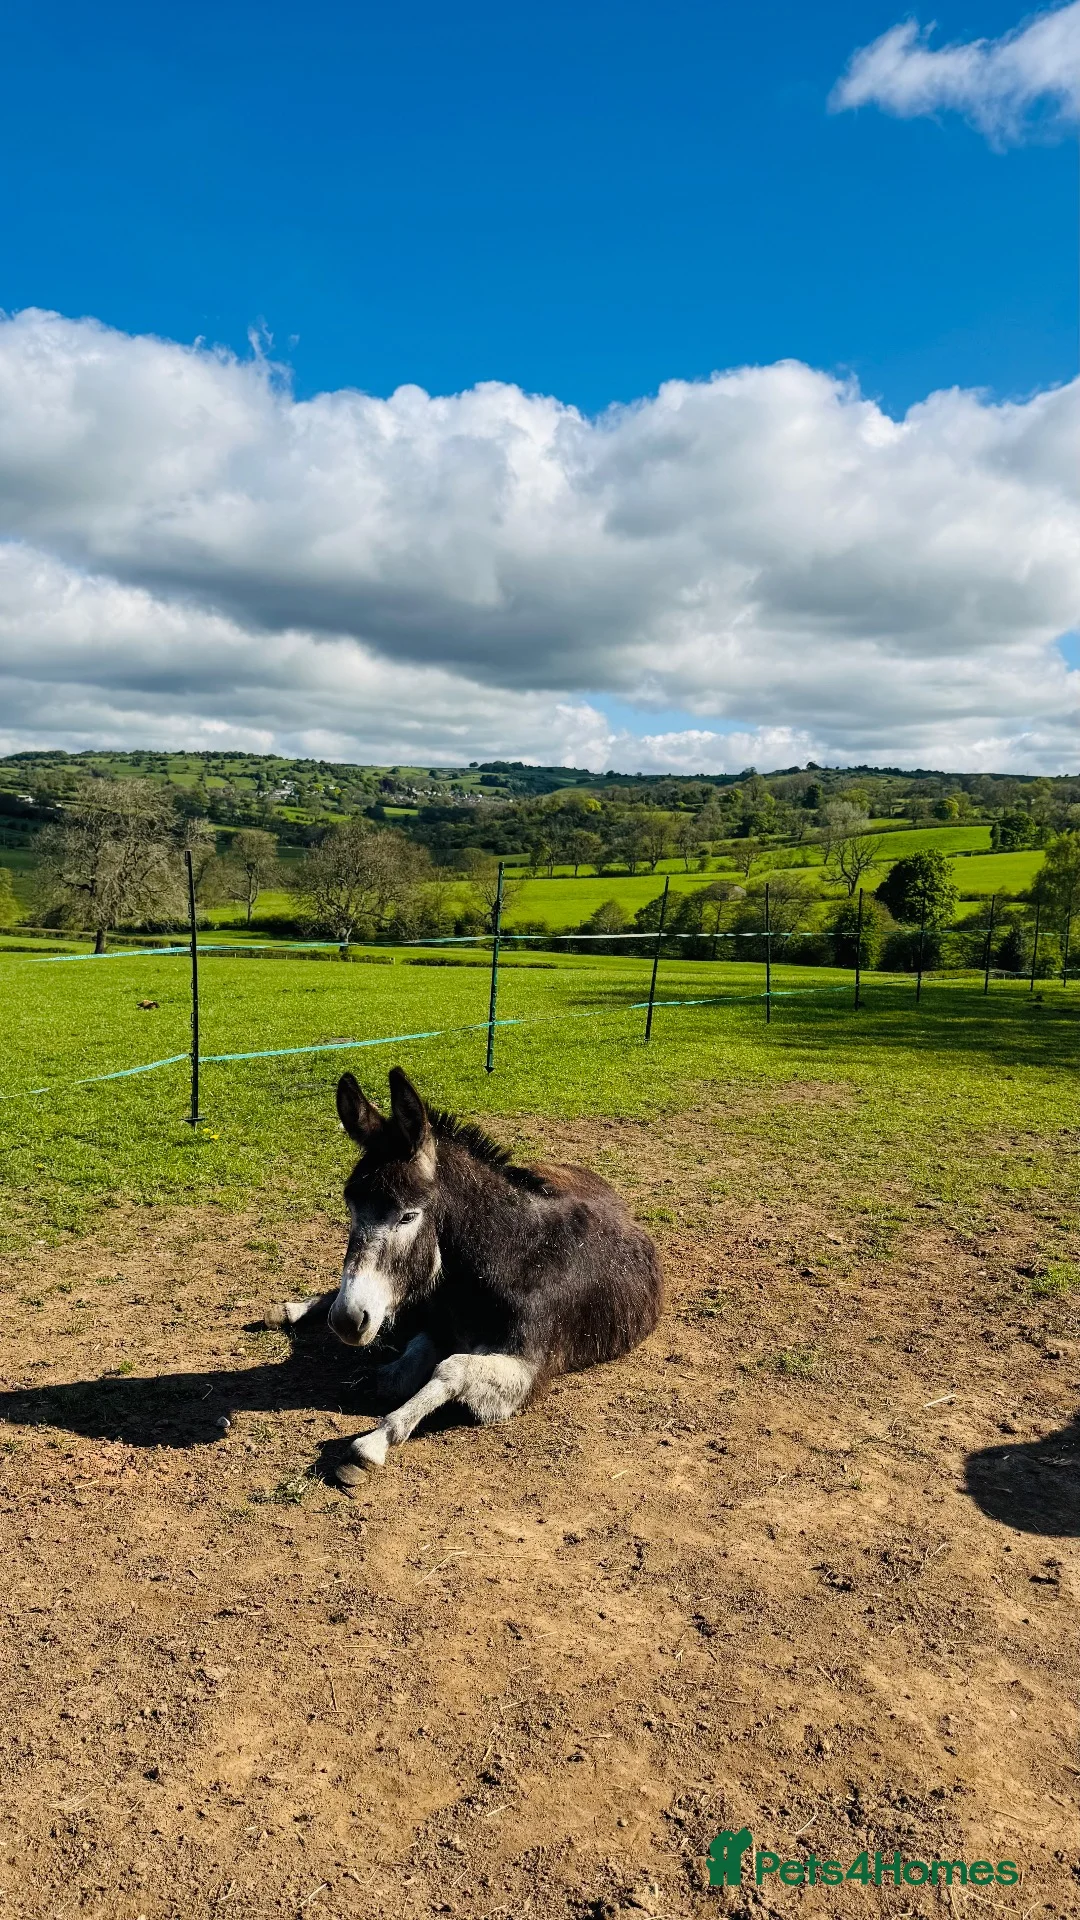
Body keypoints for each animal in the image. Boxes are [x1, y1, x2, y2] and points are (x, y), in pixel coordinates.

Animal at [265, 1067, 663, 1485]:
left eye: (408, 1216)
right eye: (351, 1207)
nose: (346, 1320)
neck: (511, 1259)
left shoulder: (527, 1368)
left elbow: (449, 1369)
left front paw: (374, 1442)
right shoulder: (434, 1320)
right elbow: (397, 1375)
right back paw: (290, 1309)